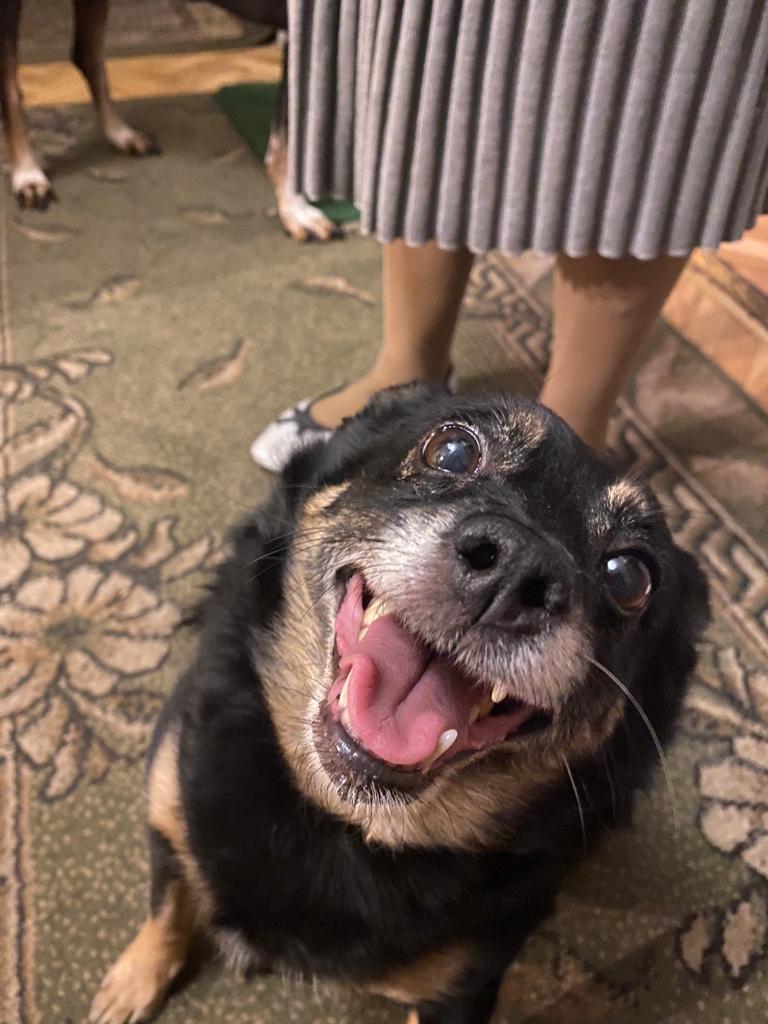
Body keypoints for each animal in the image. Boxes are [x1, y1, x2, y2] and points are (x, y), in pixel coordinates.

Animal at [1, 0, 337, 241]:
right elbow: (287, 146)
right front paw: (297, 213)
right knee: (11, 86)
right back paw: (27, 174)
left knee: (87, 55)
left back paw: (121, 134)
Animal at [88, 386, 709, 1024]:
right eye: (453, 450)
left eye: (630, 576)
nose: (520, 566)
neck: (334, 820)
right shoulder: (170, 801)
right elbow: (167, 902)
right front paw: (135, 980)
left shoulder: (461, 988)